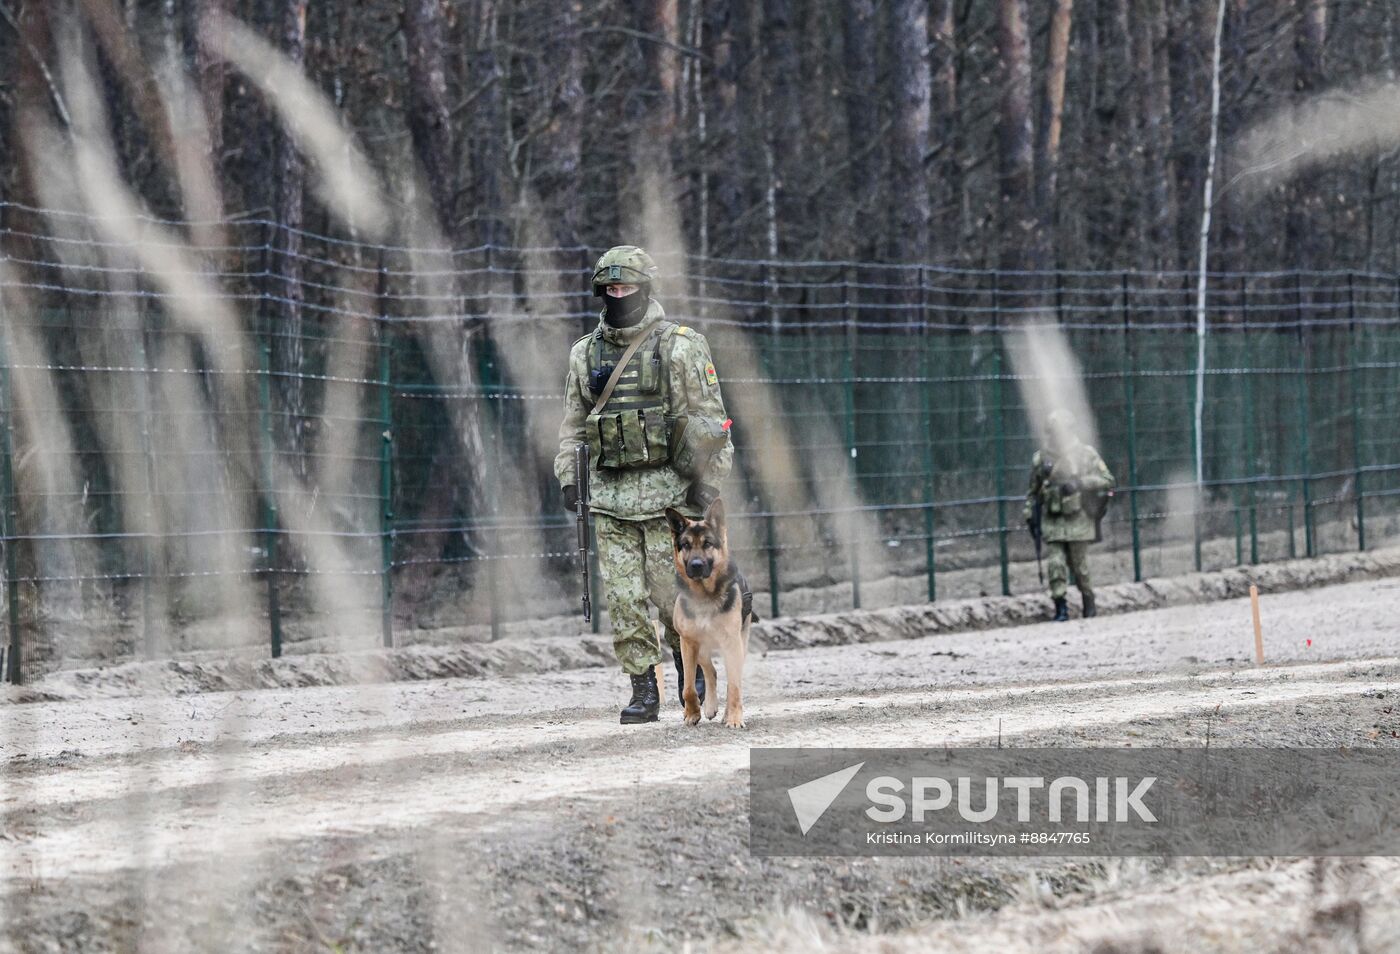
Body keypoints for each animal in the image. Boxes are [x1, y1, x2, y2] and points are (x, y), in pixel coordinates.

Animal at [663, 498, 761, 728]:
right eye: (686, 545)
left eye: (707, 543)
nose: (696, 565)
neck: (704, 596)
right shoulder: (688, 643)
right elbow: (688, 687)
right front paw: (692, 714)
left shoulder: (732, 643)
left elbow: (734, 685)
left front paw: (734, 718)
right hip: (701, 648)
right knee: (711, 671)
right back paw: (710, 707)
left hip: (738, 645)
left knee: (733, 678)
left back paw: (727, 713)